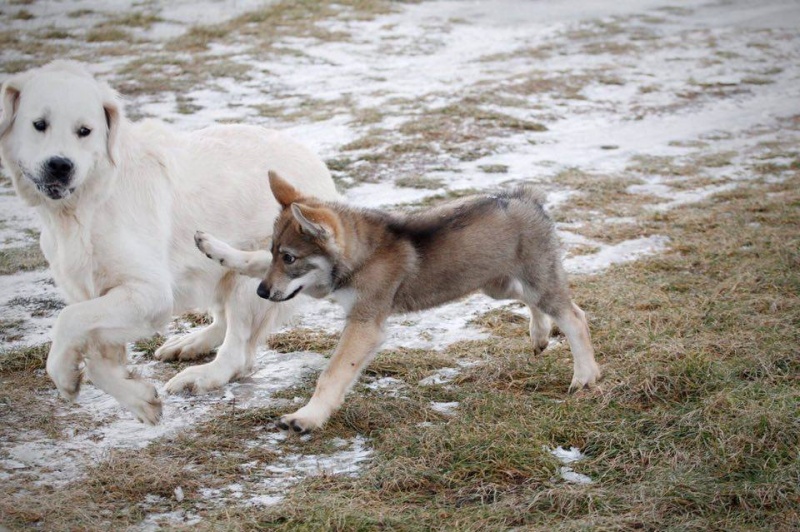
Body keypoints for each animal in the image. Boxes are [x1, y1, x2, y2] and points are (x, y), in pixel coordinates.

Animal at [0, 60, 340, 422]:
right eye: (39, 125)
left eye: (85, 131)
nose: (60, 166)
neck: (85, 204)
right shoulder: (94, 296)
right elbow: (96, 358)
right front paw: (138, 400)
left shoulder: (148, 294)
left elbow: (67, 320)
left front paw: (64, 374)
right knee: (223, 321)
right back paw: (189, 344)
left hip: (257, 276)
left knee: (239, 352)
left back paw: (201, 376)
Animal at [197, 171, 600, 432]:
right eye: (274, 253)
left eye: (291, 258)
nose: (263, 293)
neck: (363, 254)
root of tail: (528, 198)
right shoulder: (328, 290)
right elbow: (250, 261)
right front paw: (215, 248)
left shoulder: (365, 325)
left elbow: (332, 374)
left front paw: (307, 417)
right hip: (498, 284)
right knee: (541, 308)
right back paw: (539, 334)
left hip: (532, 282)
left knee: (575, 316)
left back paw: (585, 376)